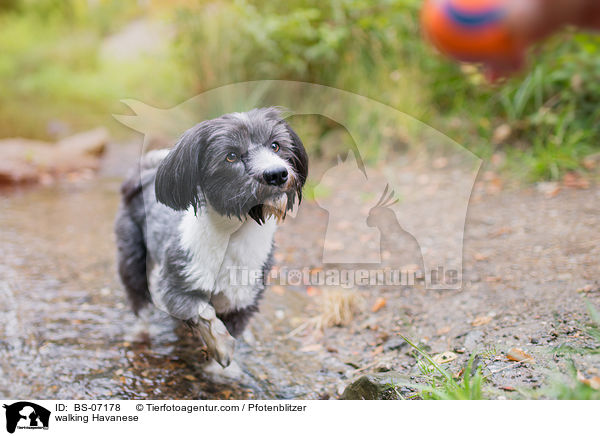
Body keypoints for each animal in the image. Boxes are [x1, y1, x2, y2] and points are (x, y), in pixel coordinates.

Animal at [114, 108, 308, 368]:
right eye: (231, 156)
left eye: (276, 146)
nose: (276, 174)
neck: (233, 234)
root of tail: (144, 174)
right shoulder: (179, 282)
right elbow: (202, 311)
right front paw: (222, 347)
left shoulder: (243, 296)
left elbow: (231, 325)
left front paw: (221, 368)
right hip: (132, 251)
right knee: (138, 296)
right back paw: (141, 331)